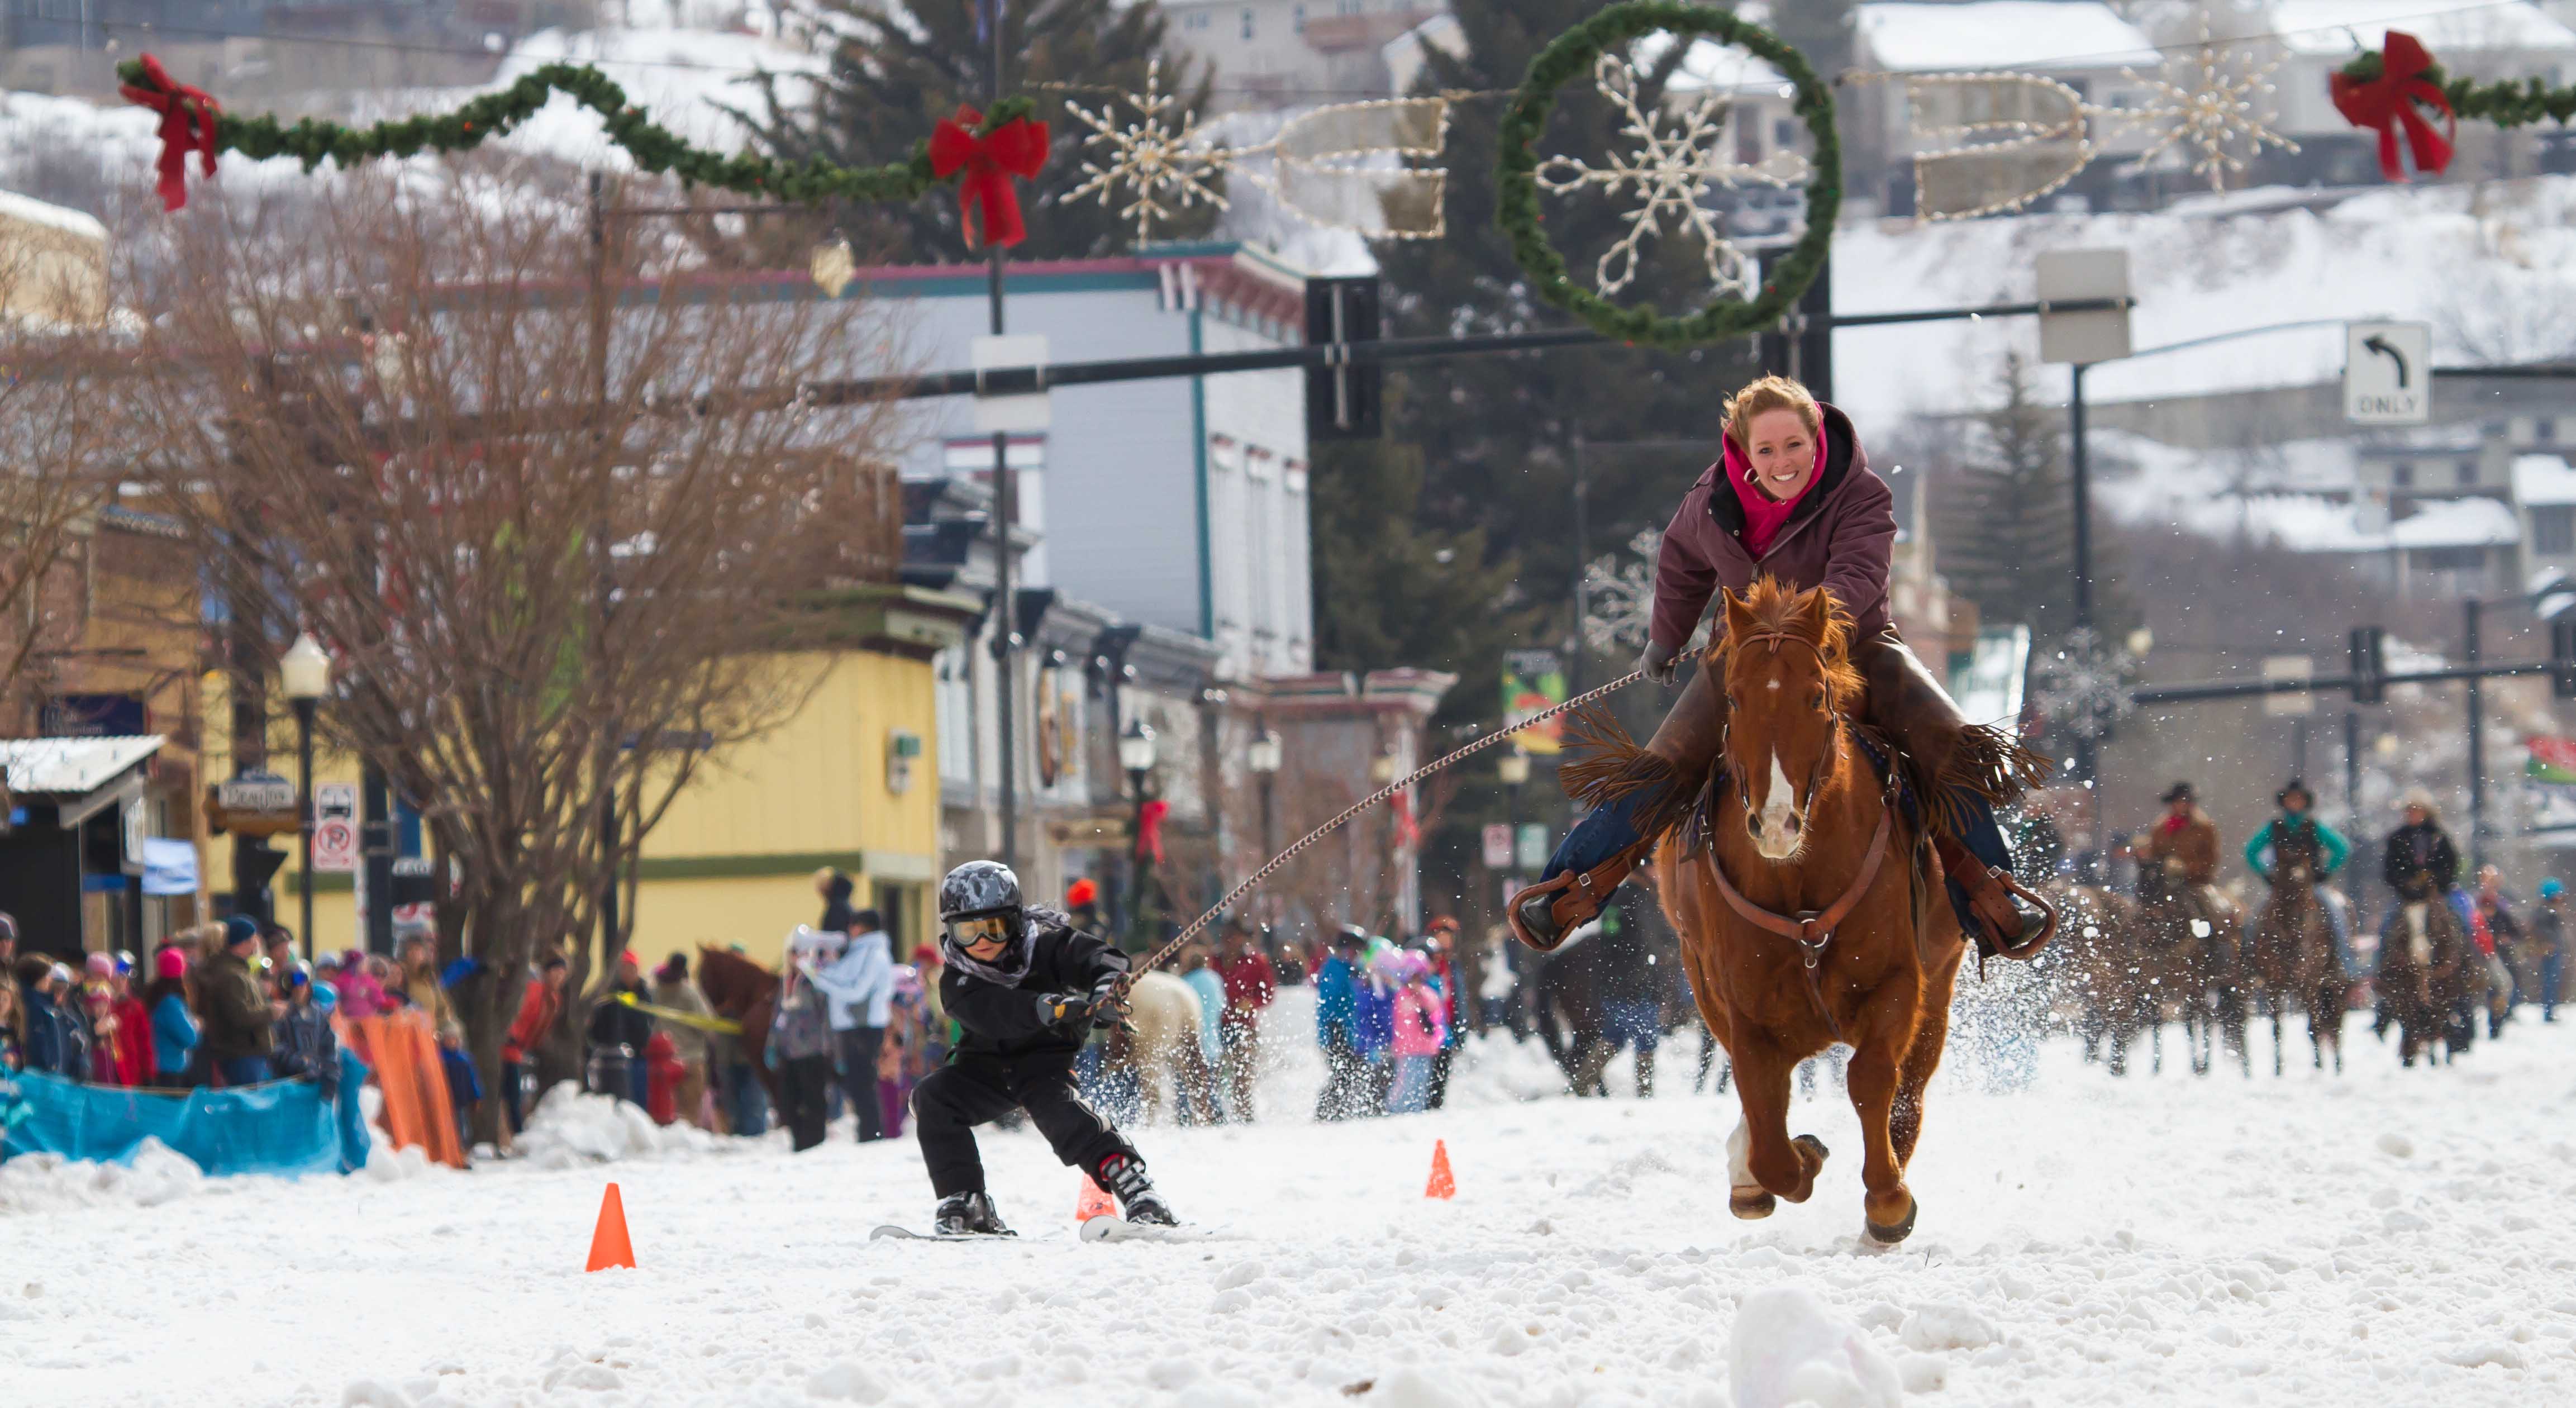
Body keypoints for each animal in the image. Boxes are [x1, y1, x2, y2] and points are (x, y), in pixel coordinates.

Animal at [1638, 582, 1958, 1245]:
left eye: (1816, 695)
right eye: (1732, 697)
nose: (1776, 823)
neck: (1798, 880)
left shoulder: (1897, 983)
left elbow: (1870, 1079)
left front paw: (1887, 1201)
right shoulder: (1746, 1012)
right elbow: (1768, 1134)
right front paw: (1788, 1162)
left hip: (1938, 989)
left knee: (1909, 1091)